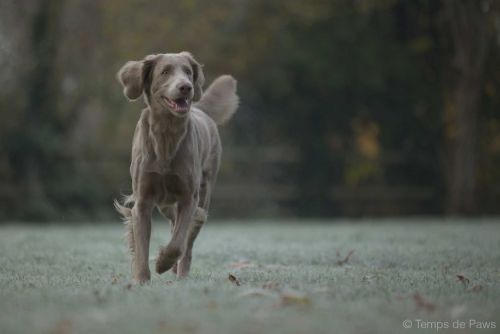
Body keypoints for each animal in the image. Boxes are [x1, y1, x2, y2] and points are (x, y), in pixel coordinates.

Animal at [113, 51, 238, 284]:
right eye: (164, 72)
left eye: (188, 72)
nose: (186, 87)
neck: (166, 134)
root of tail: (199, 108)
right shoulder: (143, 201)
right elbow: (142, 246)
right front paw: (141, 280)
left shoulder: (189, 198)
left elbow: (178, 243)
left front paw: (163, 262)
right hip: (165, 202)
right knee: (173, 221)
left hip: (204, 193)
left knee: (187, 242)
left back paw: (180, 273)